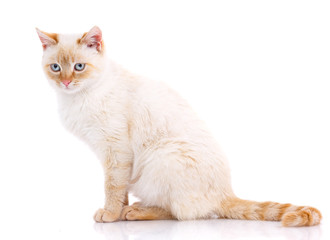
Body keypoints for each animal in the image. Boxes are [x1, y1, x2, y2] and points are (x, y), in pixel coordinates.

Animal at [36, 26, 322, 227]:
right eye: (56, 67)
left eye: (79, 67)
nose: (66, 82)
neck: (78, 98)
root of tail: (226, 193)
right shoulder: (111, 155)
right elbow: (119, 188)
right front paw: (113, 212)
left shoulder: (116, 151)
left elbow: (113, 188)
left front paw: (110, 214)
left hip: (162, 156)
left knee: (180, 213)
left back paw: (135, 212)